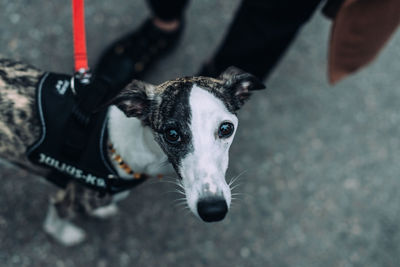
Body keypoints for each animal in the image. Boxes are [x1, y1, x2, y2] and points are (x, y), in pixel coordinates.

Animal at [0, 57, 266, 246]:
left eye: (226, 128)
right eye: (172, 134)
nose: (213, 210)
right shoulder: (69, 198)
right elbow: (57, 217)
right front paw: (64, 235)